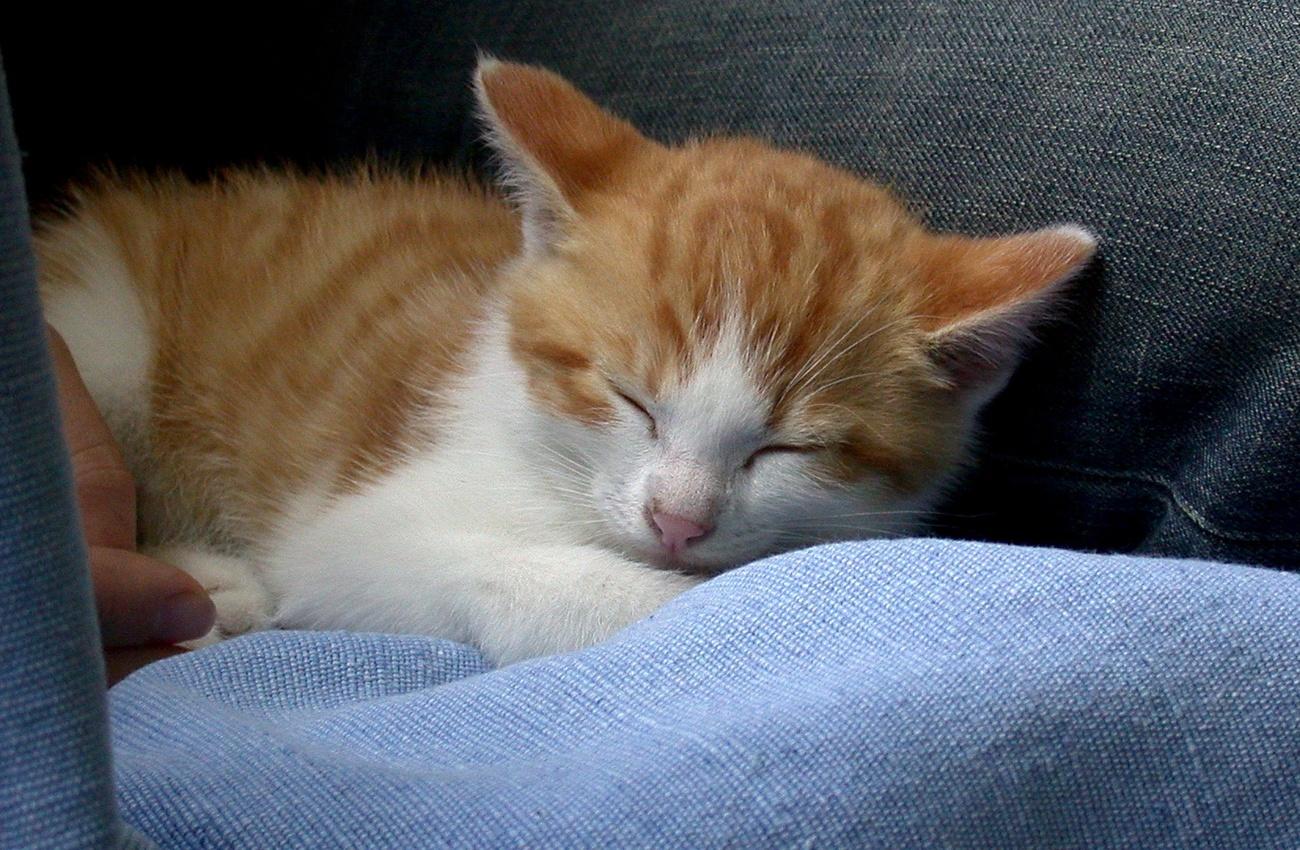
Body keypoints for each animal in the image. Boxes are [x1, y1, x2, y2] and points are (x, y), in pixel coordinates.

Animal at [38, 63, 1097, 670]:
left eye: (789, 448)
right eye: (629, 398)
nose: (677, 521)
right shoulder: (349, 528)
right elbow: (520, 576)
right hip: (105, 335)